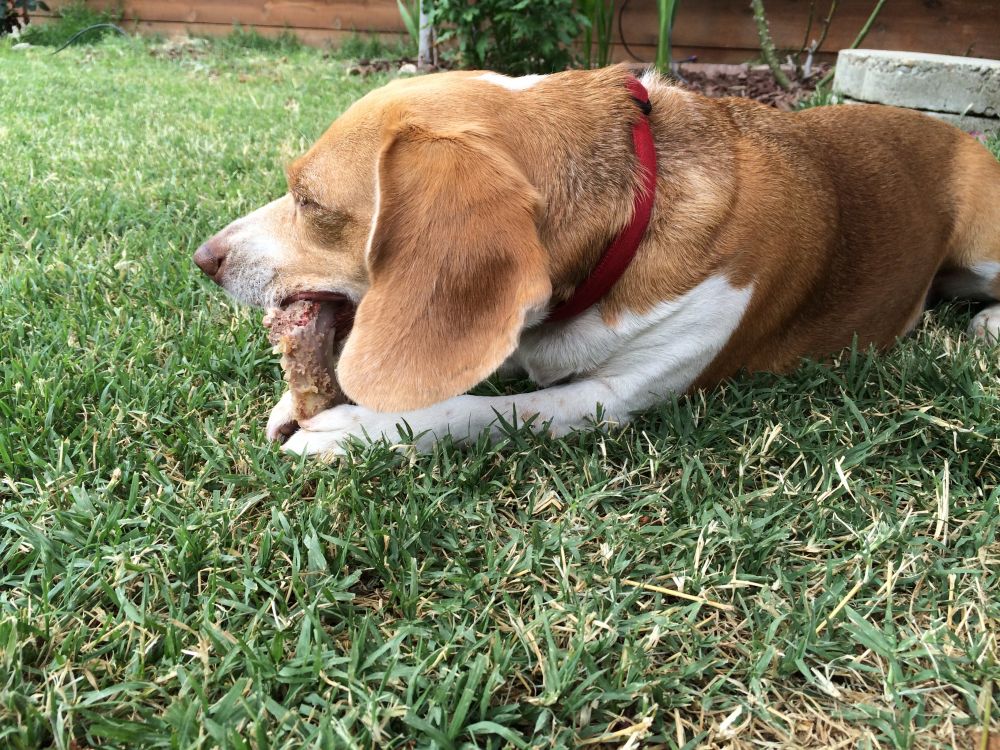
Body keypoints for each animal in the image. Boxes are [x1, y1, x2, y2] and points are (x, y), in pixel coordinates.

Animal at [194, 66, 1000, 457]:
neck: (631, 221)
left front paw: (360, 429)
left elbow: (483, 409)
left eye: (309, 200)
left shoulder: (611, 399)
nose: (204, 257)